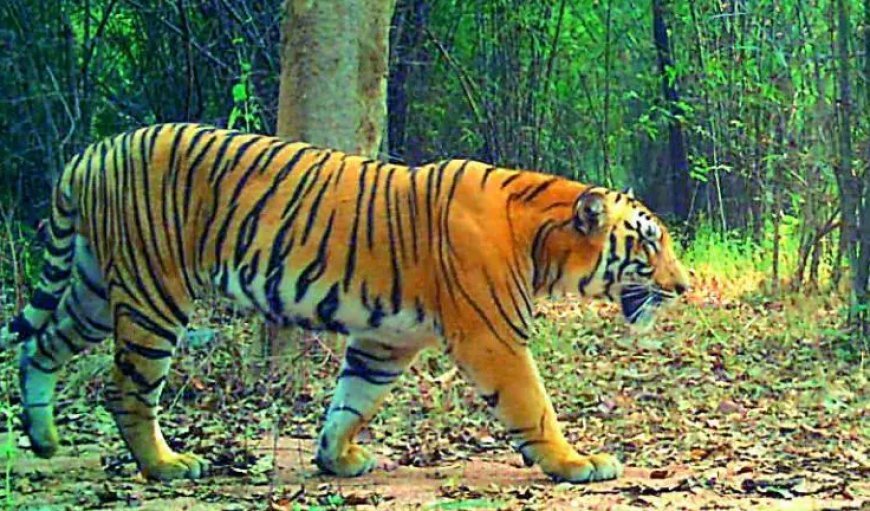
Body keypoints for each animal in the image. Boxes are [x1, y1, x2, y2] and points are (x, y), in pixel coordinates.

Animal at [2, 123, 690, 483]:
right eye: (649, 243)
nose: (683, 288)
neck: (542, 241)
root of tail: (95, 149)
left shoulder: (386, 339)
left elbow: (351, 401)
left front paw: (336, 458)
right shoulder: (492, 336)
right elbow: (534, 406)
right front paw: (577, 462)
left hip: (95, 289)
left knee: (41, 347)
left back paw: (43, 438)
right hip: (154, 292)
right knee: (126, 388)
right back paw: (167, 465)